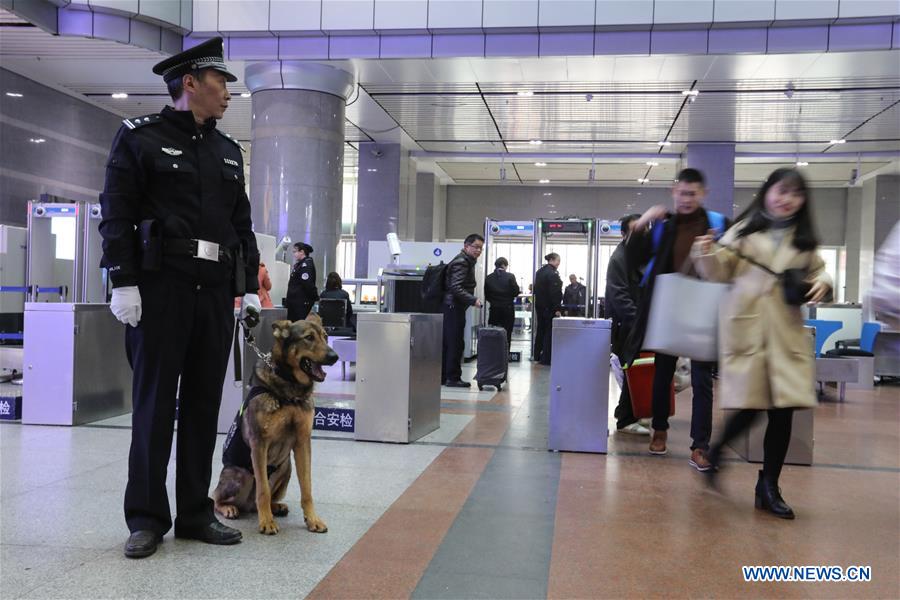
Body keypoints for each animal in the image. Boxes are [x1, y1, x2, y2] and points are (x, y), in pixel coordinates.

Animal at [214, 314, 338, 536]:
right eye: (309, 337)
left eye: (325, 336)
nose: (335, 357)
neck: (290, 390)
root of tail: (247, 505)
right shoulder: (259, 444)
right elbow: (263, 490)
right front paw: (266, 522)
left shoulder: (303, 443)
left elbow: (307, 488)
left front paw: (312, 519)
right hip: (239, 474)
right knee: (217, 498)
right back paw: (230, 508)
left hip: (286, 467)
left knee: (266, 498)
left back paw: (276, 507)